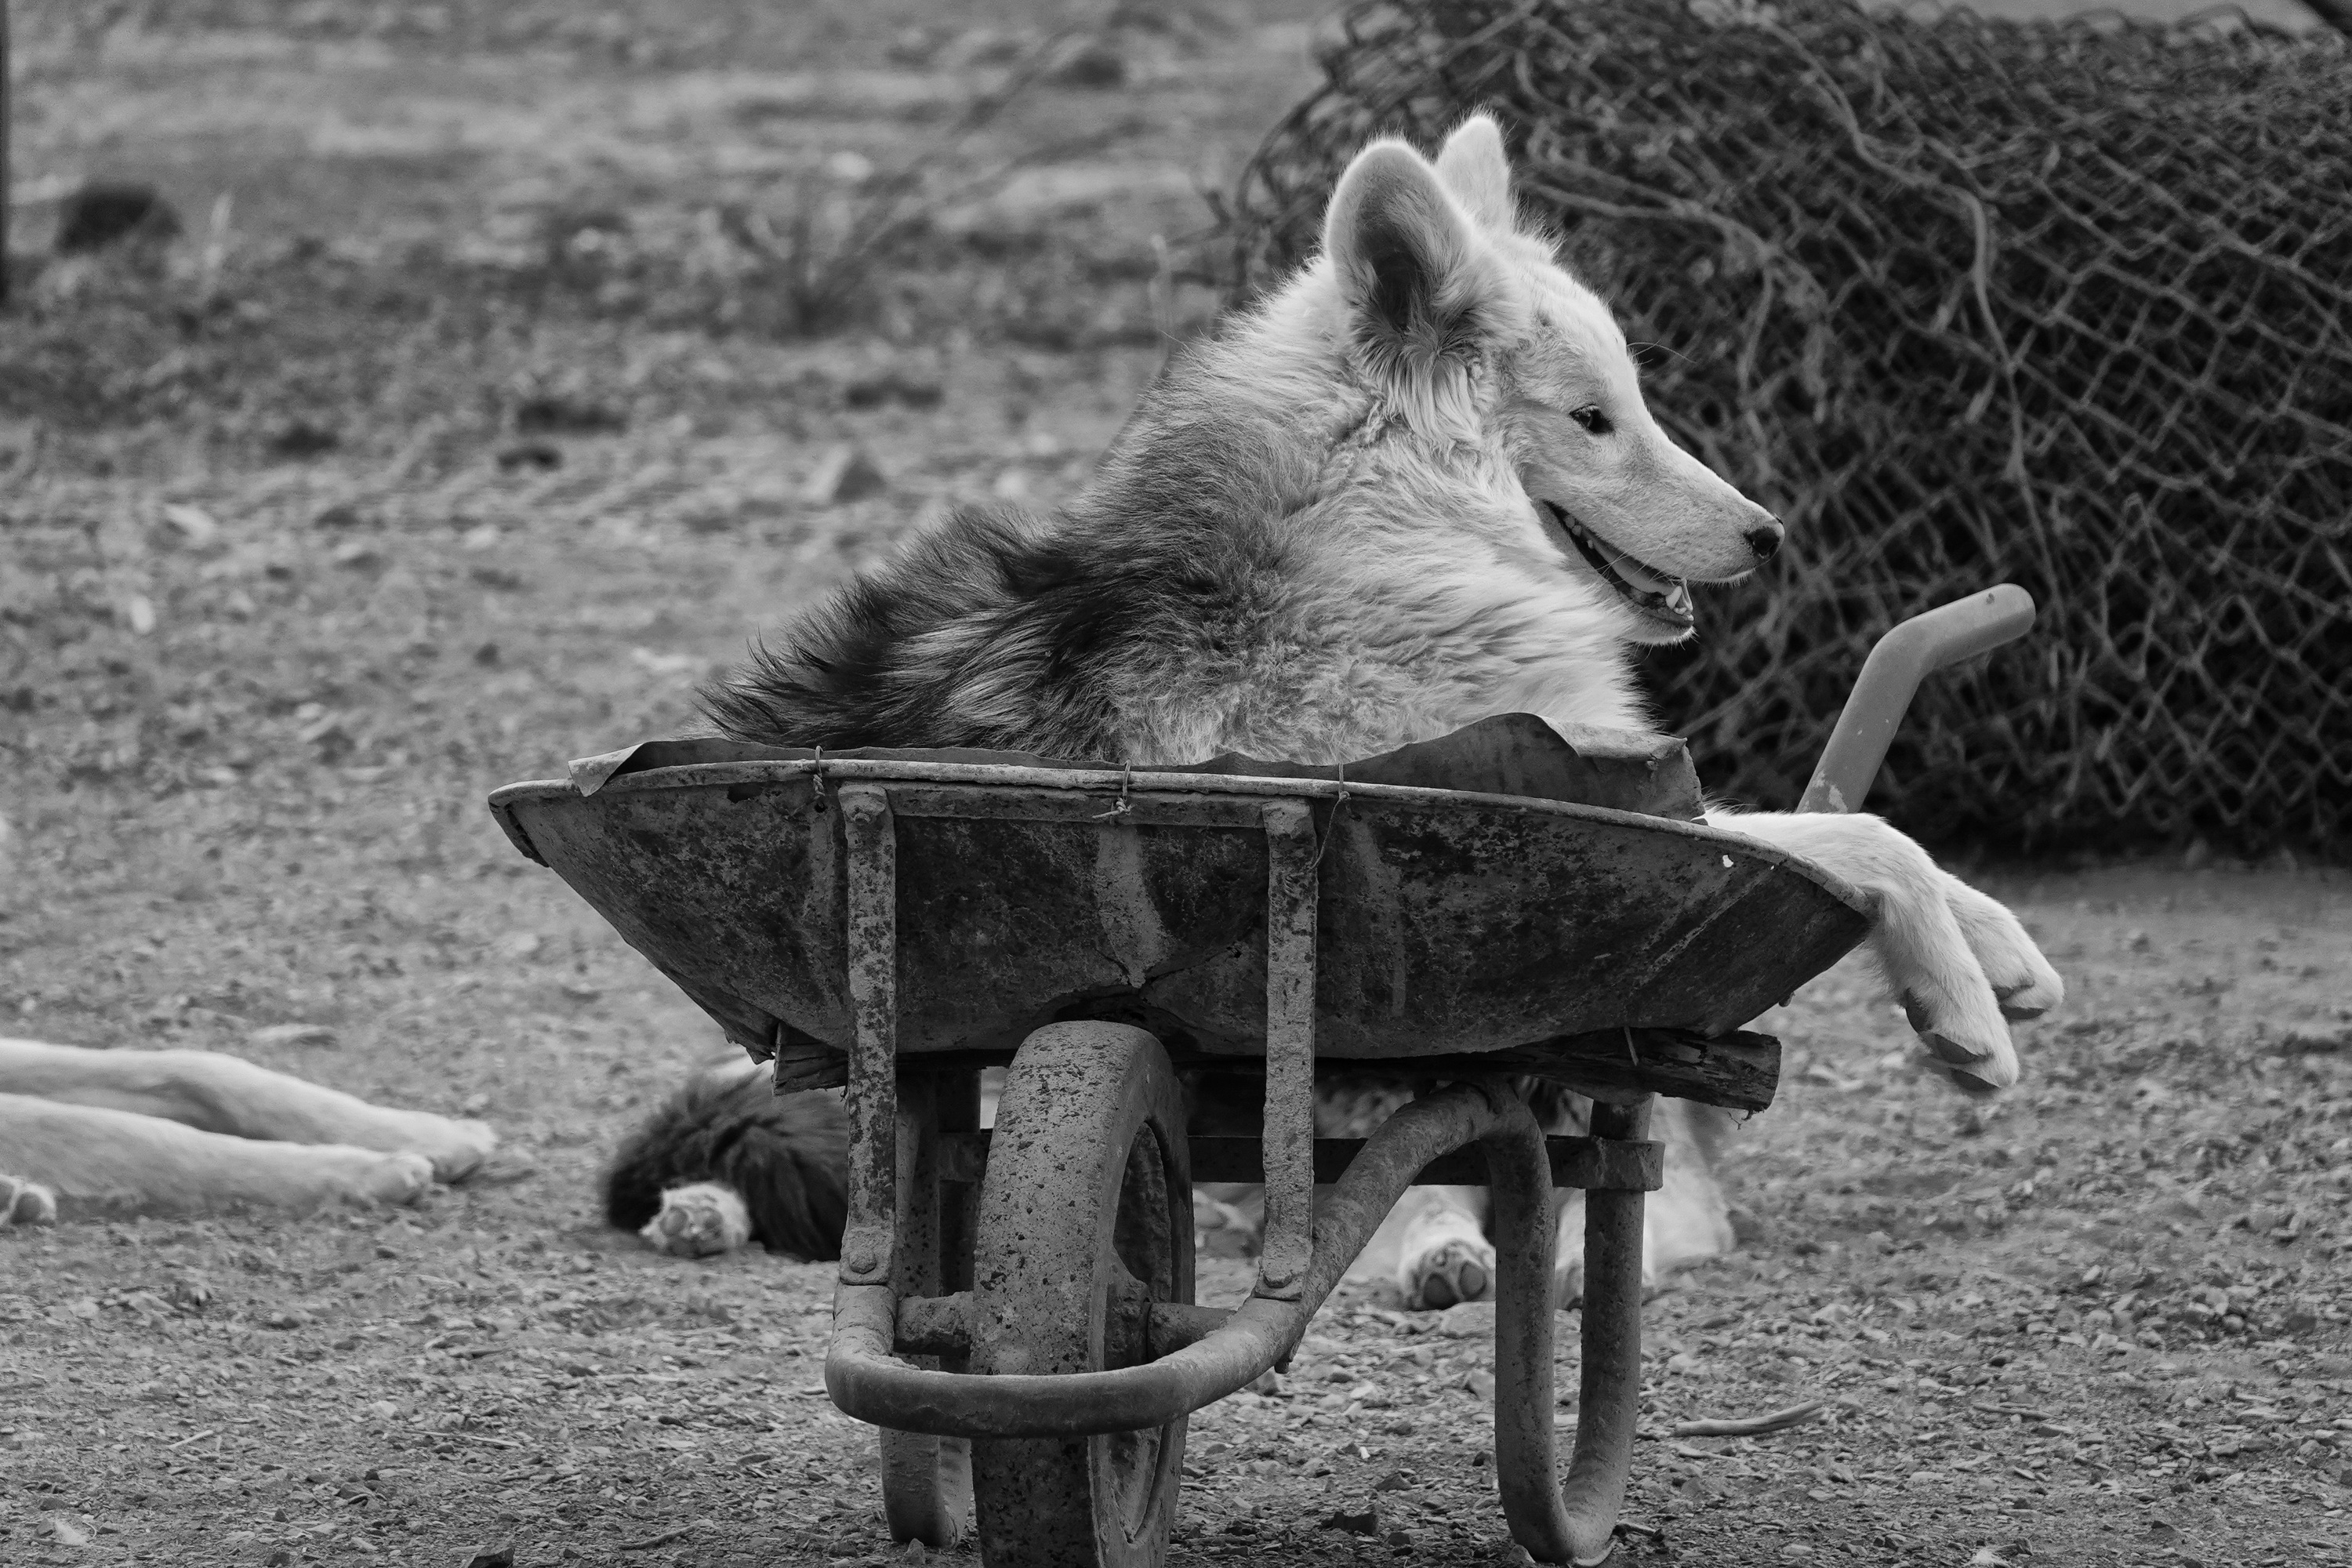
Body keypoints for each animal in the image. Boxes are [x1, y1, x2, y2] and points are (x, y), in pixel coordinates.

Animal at [675, 115, 2062, 1306]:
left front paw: (1999, 951)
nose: (1768, 535)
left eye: (1634, 402)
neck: (1373, 530)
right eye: (1593, 419)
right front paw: (1964, 1008)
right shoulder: (1524, 787)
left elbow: (1836, 833)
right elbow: (1851, 837)